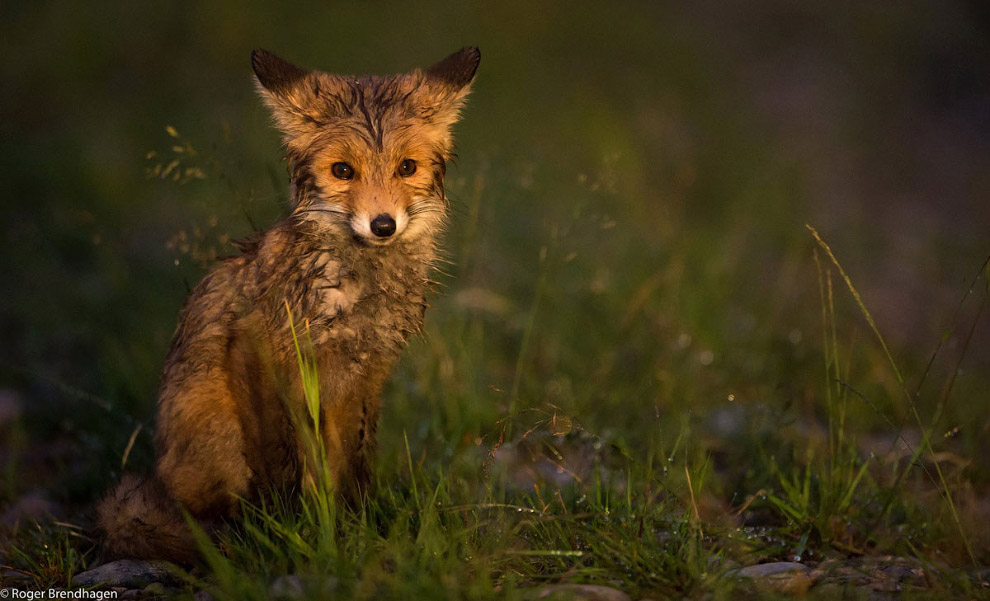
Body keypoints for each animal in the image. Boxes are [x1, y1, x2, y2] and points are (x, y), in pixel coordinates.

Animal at [97, 47, 480, 564]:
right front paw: (287, 530)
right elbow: (280, 459)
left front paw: (357, 526)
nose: (383, 225)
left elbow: (354, 462)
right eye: (343, 171)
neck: (354, 292)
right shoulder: (260, 349)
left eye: (407, 168)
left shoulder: (367, 371)